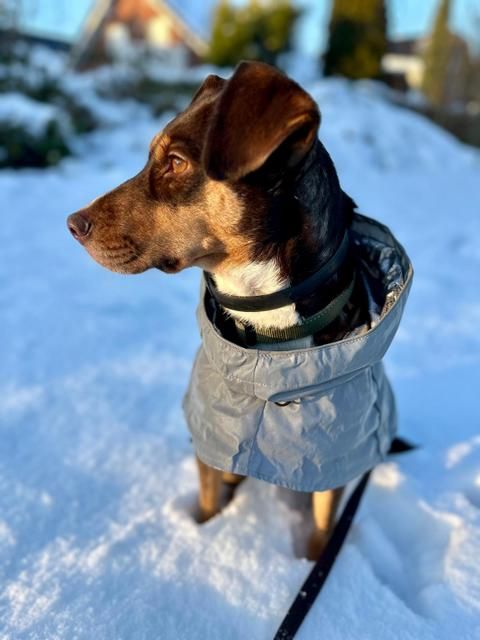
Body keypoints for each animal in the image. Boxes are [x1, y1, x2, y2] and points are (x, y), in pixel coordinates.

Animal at [67, 61, 387, 560]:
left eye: (176, 162)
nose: (73, 224)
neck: (267, 319)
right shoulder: (210, 438)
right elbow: (208, 500)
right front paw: (202, 534)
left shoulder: (335, 459)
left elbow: (320, 535)